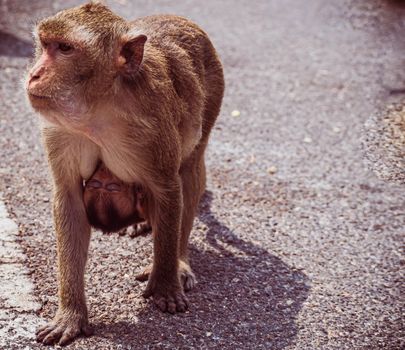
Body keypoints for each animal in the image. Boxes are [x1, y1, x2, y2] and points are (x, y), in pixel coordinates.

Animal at [27, 1, 224, 346]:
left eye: (65, 48)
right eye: (45, 43)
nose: (35, 73)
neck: (98, 108)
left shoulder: (152, 129)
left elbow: (168, 189)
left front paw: (165, 282)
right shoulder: (59, 132)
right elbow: (69, 198)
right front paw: (71, 315)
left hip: (214, 94)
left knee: (190, 172)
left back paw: (179, 262)